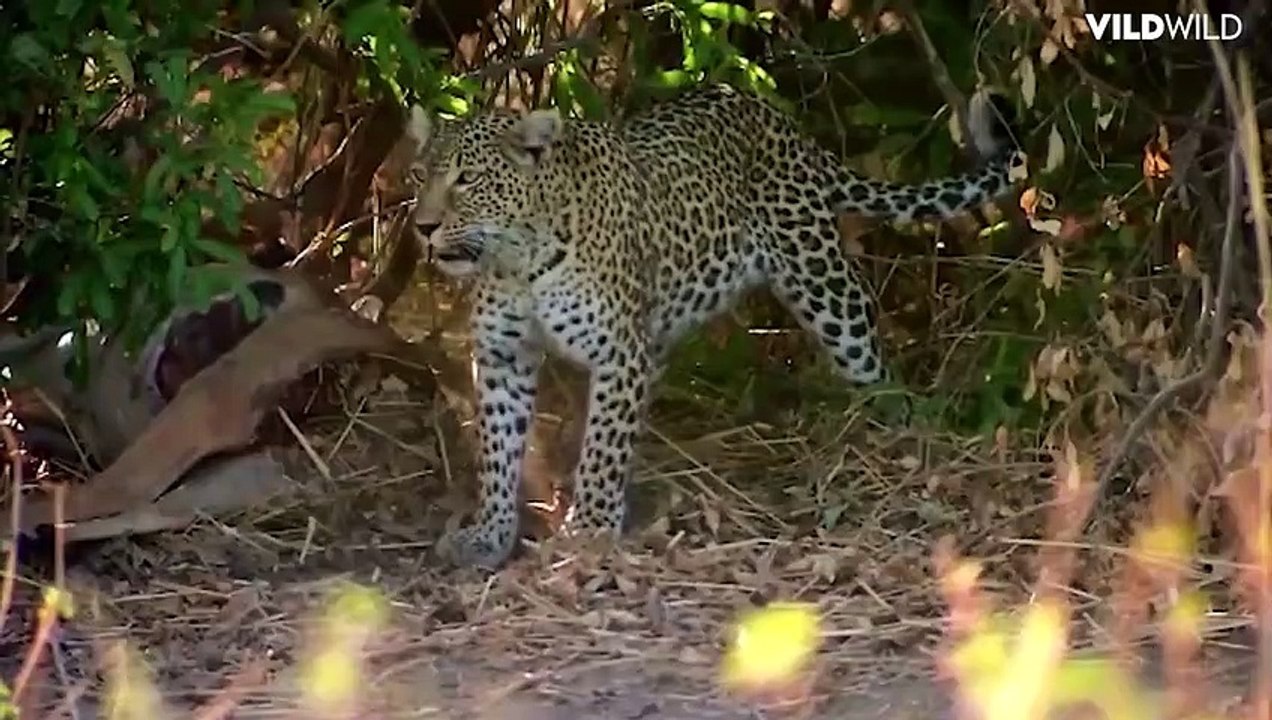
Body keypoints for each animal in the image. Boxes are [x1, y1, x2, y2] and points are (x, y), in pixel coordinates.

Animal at [404, 83, 1028, 569]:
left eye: (467, 180)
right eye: (419, 175)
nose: (422, 229)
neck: (516, 261)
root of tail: (772, 115)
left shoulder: (618, 352)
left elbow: (602, 449)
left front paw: (590, 531)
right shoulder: (504, 357)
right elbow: (497, 450)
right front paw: (490, 534)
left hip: (824, 283)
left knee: (871, 363)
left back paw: (897, 438)